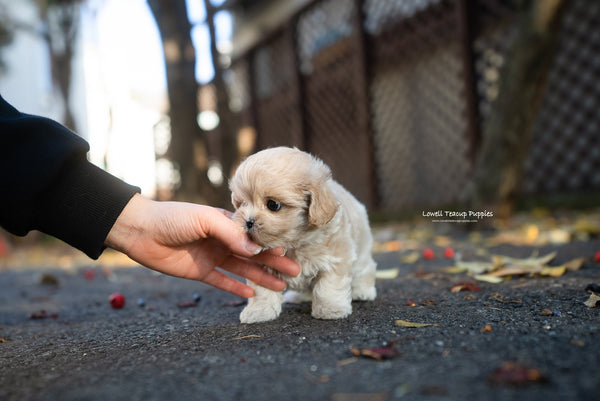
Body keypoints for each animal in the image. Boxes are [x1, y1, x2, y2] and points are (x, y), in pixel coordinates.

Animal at [229, 146, 376, 322]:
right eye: (241, 204)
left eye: (273, 205)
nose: (248, 222)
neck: (293, 243)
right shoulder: (262, 270)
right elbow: (262, 291)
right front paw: (259, 311)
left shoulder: (335, 259)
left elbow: (328, 287)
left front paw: (330, 309)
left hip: (362, 250)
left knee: (365, 269)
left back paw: (362, 291)